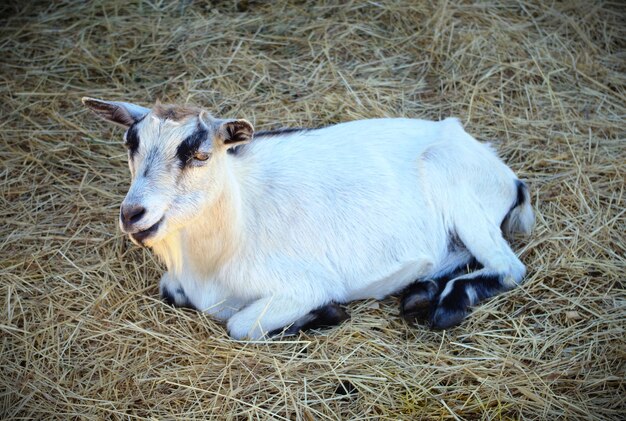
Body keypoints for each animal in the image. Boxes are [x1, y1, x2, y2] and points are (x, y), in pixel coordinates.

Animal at [81, 97, 532, 340]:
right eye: (131, 144)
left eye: (201, 154)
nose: (133, 214)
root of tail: (503, 172)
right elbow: (170, 291)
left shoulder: (302, 286)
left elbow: (240, 325)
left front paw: (326, 314)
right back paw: (422, 292)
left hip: (454, 186)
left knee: (509, 268)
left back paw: (446, 304)